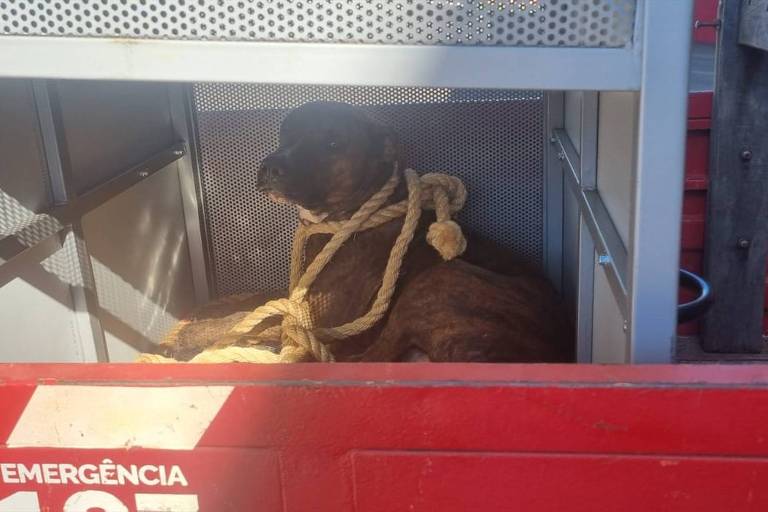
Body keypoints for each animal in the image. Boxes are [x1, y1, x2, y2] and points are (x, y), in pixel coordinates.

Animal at [255, 101, 572, 364]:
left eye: (333, 142)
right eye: (285, 133)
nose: (271, 165)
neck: (354, 216)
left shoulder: (321, 319)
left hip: (434, 282)